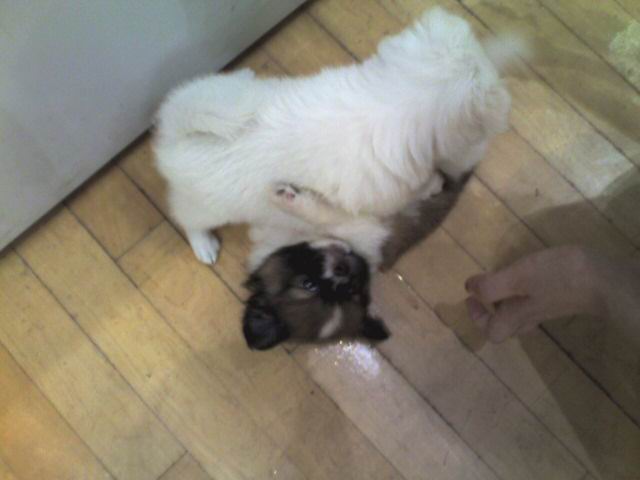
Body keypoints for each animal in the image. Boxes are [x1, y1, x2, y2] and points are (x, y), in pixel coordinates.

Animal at [154, 7, 524, 268]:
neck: (399, 96)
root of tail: (174, 127)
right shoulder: (375, 196)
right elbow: (410, 190)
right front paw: (433, 184)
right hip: (207, 206)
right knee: (186, 218)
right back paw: (204, 245)